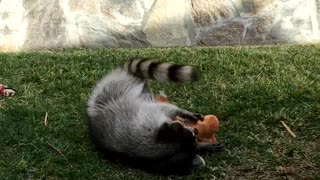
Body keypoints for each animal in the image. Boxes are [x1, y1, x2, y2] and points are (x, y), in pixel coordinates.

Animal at [86, 58, 224, 174]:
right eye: (193, 135)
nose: (195, 131)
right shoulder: (146, 117)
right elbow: (165, 109)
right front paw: (184, 114)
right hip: (117, 88)